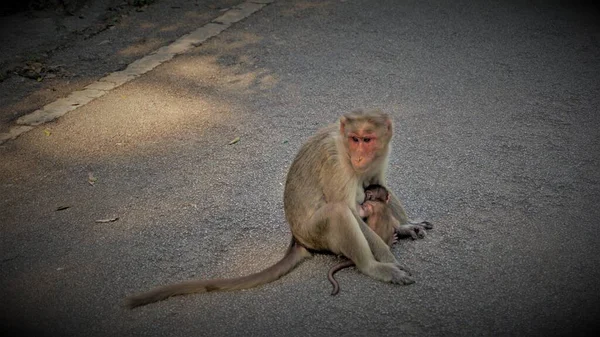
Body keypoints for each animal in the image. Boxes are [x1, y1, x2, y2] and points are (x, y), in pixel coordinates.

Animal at [125, 109, 432, 308]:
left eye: (367, 140)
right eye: (354, 139)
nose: (358, 155)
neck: (346, 148)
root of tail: (297, 238)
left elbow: (382, 186)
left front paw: (406, 224)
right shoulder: (336, 162)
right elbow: (352, 211)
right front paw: (388, 259)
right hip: (317, 234)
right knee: (338, 213)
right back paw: (373, 267)